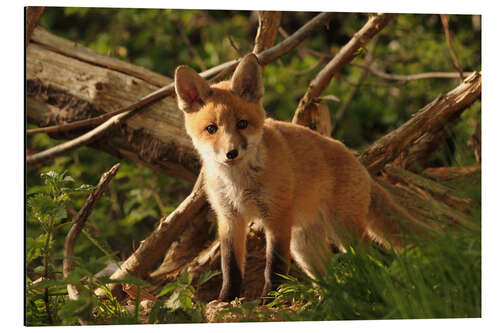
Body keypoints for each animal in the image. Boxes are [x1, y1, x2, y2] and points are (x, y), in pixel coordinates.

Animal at [173, 53, 430, 300]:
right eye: (211, 129)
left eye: (242, 124)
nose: (231, 153)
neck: (238, 183)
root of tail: (359, 163)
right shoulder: (229, 218)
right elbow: (230, 267)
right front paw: (226, 299)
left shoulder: (277, 216)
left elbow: (274, 267)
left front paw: (270, 300)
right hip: (304, 247)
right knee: (329, 278)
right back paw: (328, 301)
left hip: (342, 230)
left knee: (371, 259)